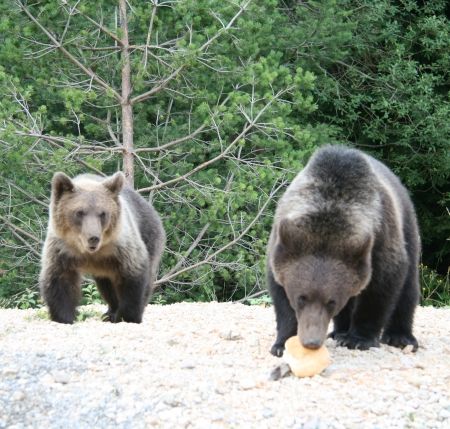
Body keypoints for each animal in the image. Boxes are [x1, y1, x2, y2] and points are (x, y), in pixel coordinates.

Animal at [39, 170, 166, 320]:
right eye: (79, 212)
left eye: (103, 213)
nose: (93, 238)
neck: (90, 252)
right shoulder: (62, 249)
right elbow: (60, 281)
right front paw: (64, 317)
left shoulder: (121, 247)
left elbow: (132, 277)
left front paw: (128, 316)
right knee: (106, 285)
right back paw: (110, 312)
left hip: (149, 234)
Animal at [266, 146, 420, 354]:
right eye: (301, 297)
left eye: (331, 301)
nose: (312, 342)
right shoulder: (282, 242)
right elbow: (281, 296)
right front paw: (282, 343)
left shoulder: (381, 238)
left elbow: (381, 287)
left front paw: (359, 339)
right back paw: (339, 332)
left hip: (408, 226)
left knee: (408, 287)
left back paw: (400, 337)